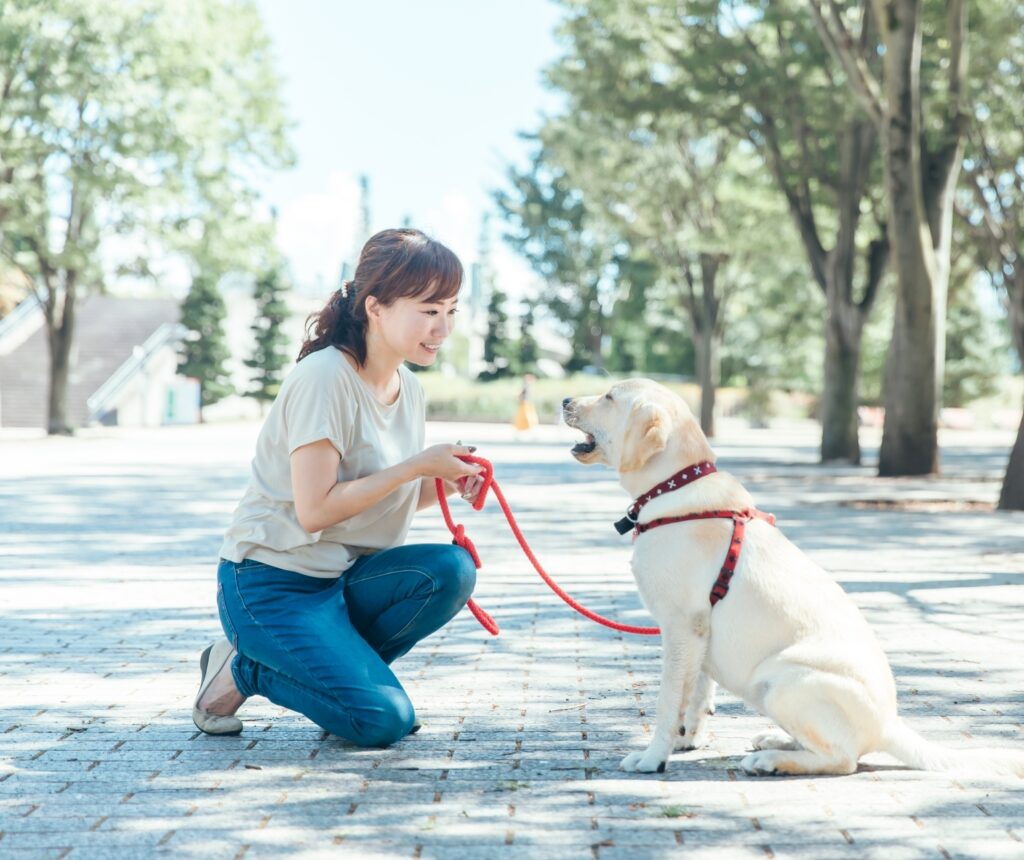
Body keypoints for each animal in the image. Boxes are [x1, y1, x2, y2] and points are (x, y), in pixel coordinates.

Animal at [561, 378, 1024, 774]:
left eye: (609, 396)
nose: (565, 400)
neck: (674, 487)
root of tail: (889, 725)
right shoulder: (698, 633)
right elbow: (697, 694)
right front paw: (686, 739)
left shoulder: (681, 627)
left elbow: (668, 699)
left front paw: (654, 756)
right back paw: (776, 742)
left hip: (782, 681)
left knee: (843, 759)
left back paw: (773, 761)